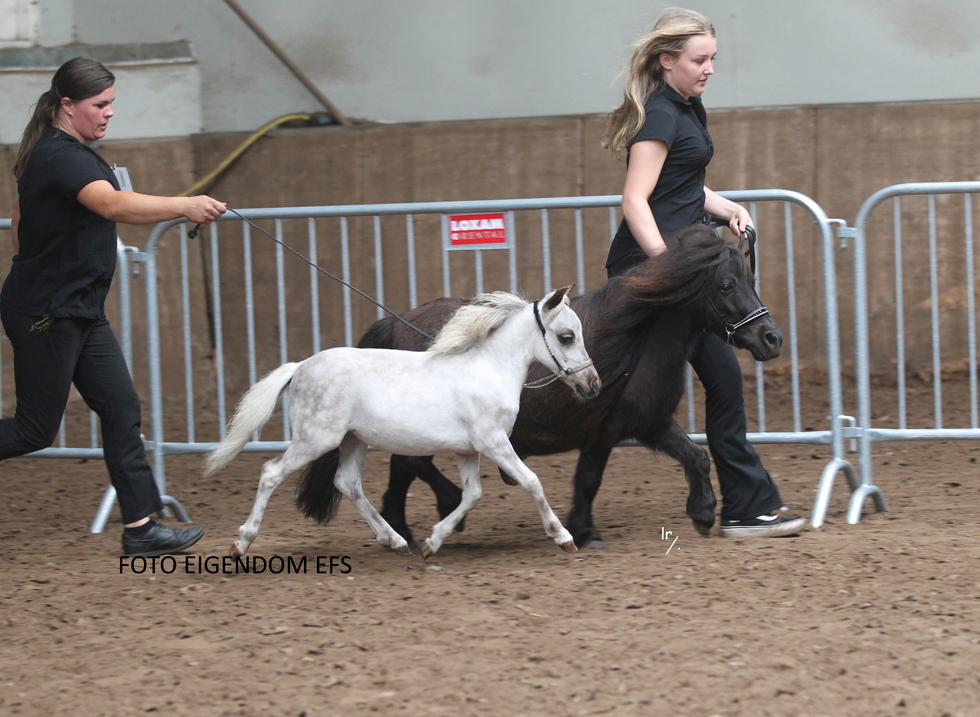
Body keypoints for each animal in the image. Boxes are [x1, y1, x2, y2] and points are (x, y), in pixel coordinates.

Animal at [205, 286, 601, 559]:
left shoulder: (468, 451)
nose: (593, 385)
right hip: (316, 440)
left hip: (353, 441)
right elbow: (532, 482)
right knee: (271, 473)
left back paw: (395, 541)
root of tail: (299, 367)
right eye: (566, 336)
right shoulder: (494, 443)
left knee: (347, 483)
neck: (488, 370)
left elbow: (472, 495)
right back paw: (241, 543)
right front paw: (564, 538)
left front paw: (431, 543)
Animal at [294, 224, 783, 549]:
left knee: (403, 467)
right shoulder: (603, 432)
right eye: (726, 285)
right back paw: (430, 515)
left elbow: (697, 457)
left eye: (751, 279)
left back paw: (406, 528)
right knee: (410, 465)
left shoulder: (651, 424)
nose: (771, 338)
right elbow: (589, 479)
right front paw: (582, 531)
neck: (637, 340)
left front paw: (702, 512)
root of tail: (394, 324)